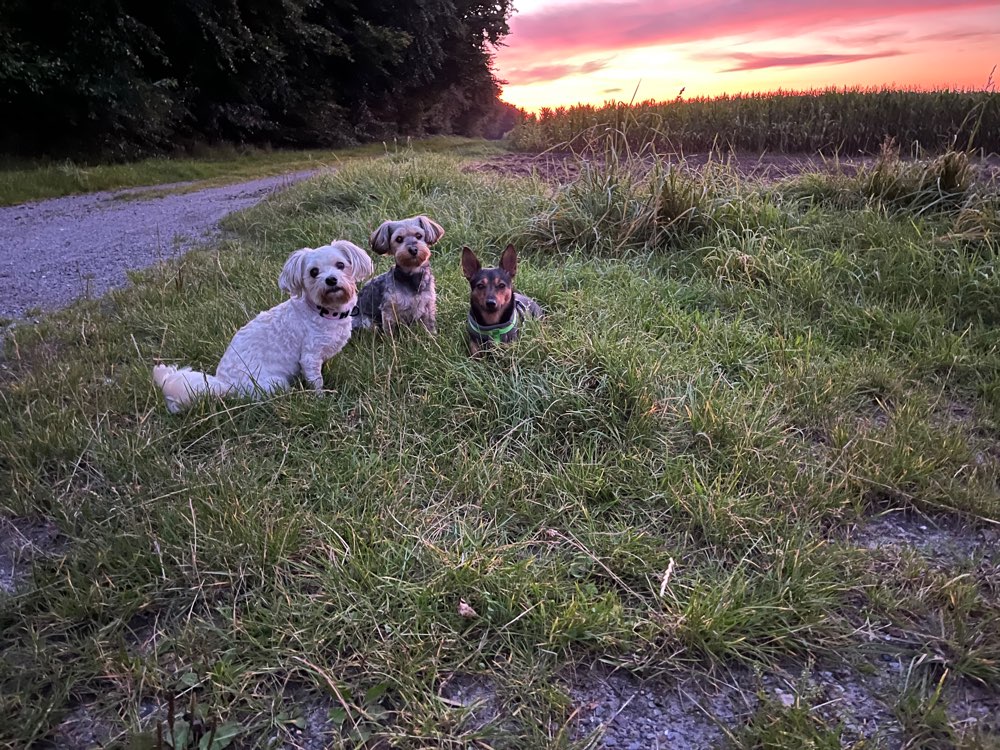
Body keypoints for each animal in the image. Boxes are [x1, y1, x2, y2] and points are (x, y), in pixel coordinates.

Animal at [152, 241, 376, 414]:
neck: (324, 311)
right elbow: (316, 381)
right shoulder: (309, 357)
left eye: (340, 265)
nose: (331, 280)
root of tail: (224, 383)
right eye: (313, 272)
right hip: (273, 383)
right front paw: (322, 399)